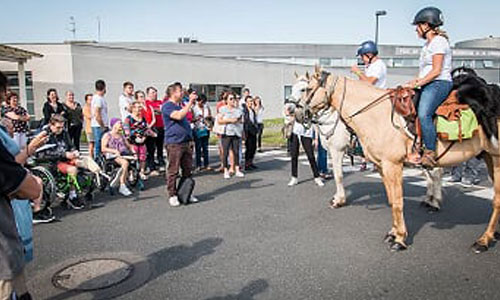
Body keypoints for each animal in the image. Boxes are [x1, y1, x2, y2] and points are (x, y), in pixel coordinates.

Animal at [290, 71, 446, 210]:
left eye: (305, 89)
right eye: (291, 88)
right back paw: (430, 199)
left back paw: (434, 202)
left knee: (435, 172)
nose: (293, 111)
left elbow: (338, 175)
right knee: (431, 173)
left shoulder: (337, 150)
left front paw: (339, 200)